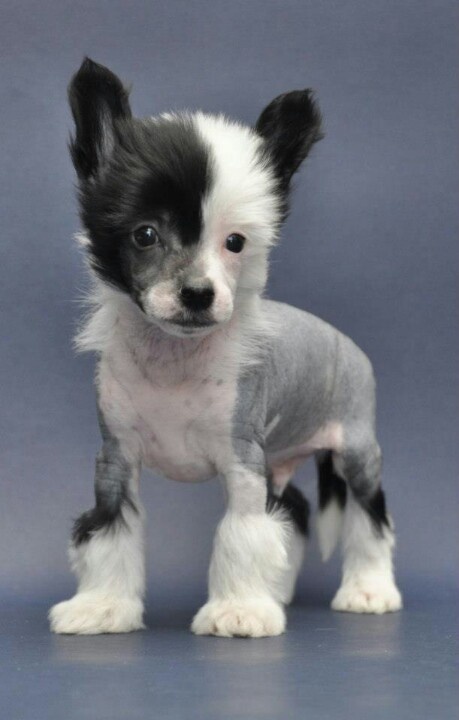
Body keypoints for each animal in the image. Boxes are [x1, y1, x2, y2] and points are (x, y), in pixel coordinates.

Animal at [51, 59, 402, 640]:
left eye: (235, 243)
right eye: (144, 235)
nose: (198, 293)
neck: (172, 362)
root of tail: (342, 341)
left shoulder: (242, 461)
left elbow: (242, 531)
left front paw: (239, 609)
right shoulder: (116, 460)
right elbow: (109, 530)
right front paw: (102, 605)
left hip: (355, 449)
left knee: (369, 514)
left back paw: (369, 589)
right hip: (280, 458)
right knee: (293, 509)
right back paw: (279, 588)